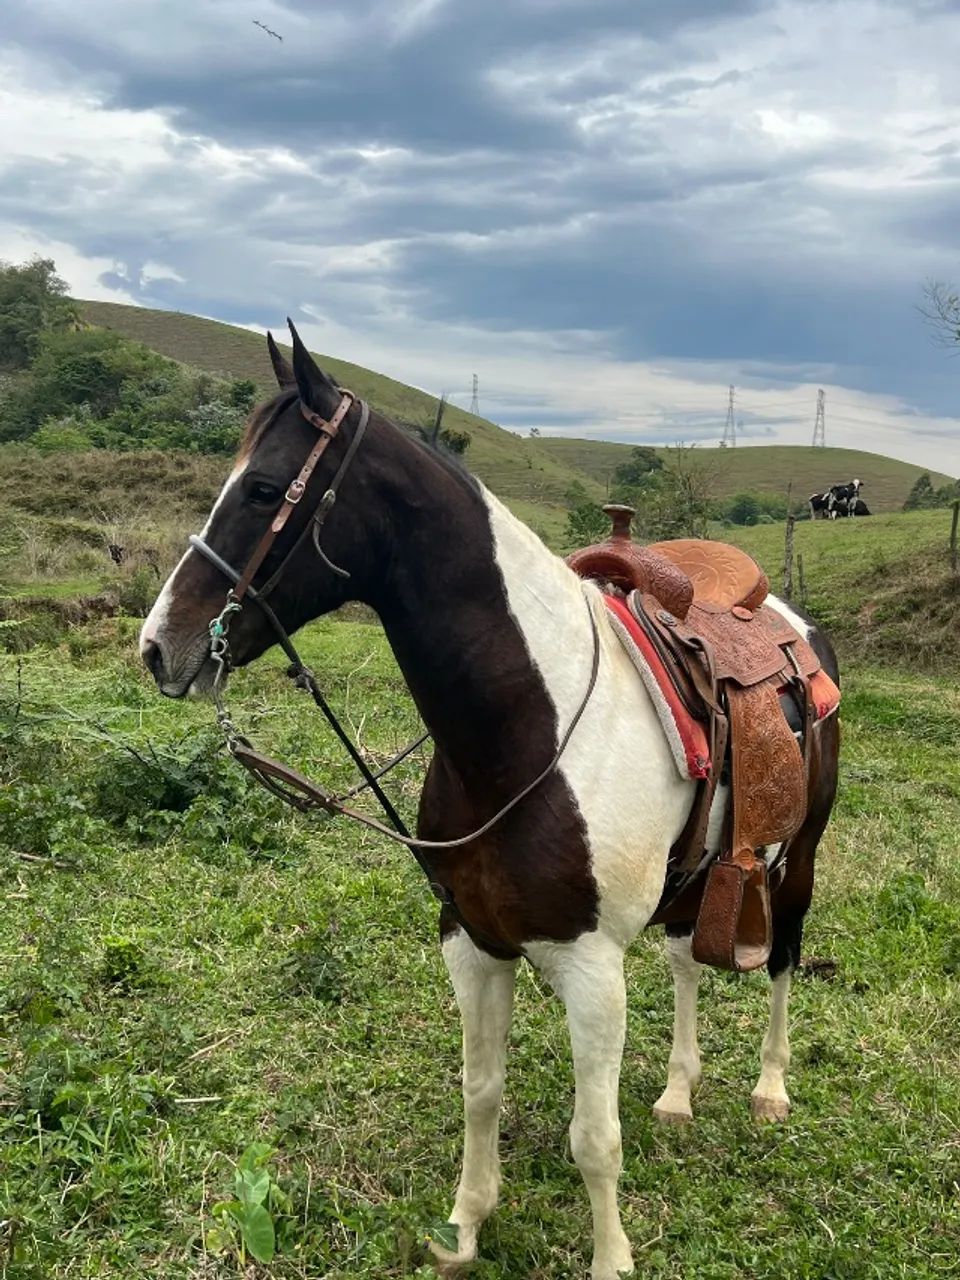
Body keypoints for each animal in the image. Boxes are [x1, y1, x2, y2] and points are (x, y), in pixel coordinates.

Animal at [140, 325, 840, 1280]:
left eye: (261, 489)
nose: (158, 646)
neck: (526, 736)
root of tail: (790, 619)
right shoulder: (471, 941)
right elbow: (481, 1089)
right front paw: (467, 1224)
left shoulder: (592, 968)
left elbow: (594, 1139)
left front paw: (610, 1258)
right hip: (700, 874)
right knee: (687, 962)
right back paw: (677, 1092)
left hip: (797, 856)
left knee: (781, 960)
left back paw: (769, 1088)